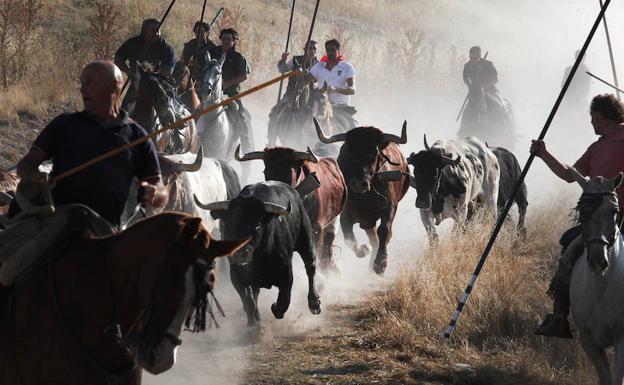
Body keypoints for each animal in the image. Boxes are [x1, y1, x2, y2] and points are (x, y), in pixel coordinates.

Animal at [195, 182, 322, 326]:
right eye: (231, 224)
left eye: (257, 225)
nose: (240, 254)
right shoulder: (236, 276)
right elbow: (248, 301)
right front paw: (252, 322)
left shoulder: (286, 272)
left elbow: (284, 300)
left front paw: (275, 308)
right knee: (255, 292)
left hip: (306, 239)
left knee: (310, 267)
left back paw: (314, 303)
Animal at [314, 118, 412, 274]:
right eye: (349, 153)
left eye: (375, 153)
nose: (360, 184)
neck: (364, 197)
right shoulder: (345, 215)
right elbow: (349, 238)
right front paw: (363, 250)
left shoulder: (390, 206)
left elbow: (384, 230)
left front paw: (380, 263)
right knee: (371, 237)